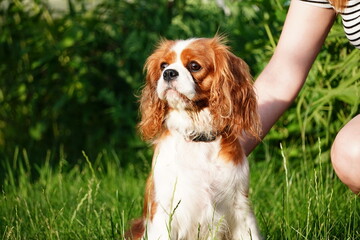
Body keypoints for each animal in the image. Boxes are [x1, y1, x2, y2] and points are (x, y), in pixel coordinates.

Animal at [126, 36, 262, 240]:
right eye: (163, 65)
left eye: (194, 66)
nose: (168, 73)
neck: (196, 134)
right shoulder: (163, 209)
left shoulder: (239, 206)